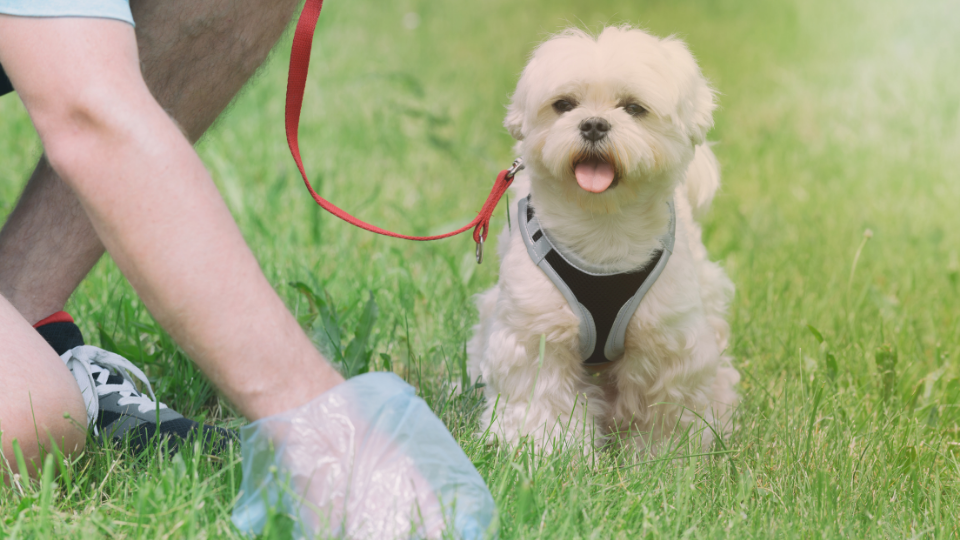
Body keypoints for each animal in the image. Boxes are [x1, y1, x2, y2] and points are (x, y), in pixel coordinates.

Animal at [468, 27, 740, 454]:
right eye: (564, 105)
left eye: (633, 108)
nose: (593, 124)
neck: (603, 229)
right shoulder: (535, 333)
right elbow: (542, 399)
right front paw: (546, 452)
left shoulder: (667, 342)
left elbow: (663, 408)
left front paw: (663, 455)